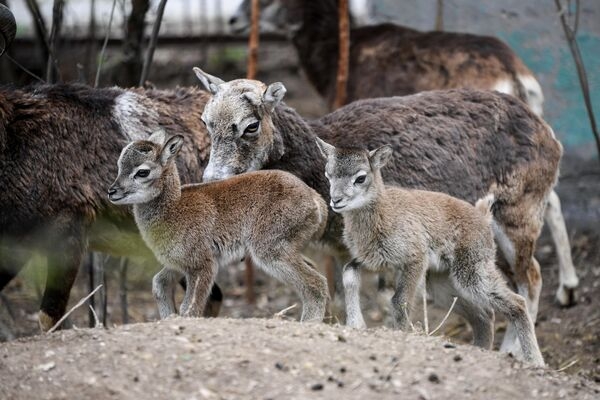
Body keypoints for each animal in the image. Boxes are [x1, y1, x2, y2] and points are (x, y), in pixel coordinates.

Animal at [108, 132, 328, 322]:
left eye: (142, 172)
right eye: (119, 164)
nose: (112, 191)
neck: (174, 209)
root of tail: (316, 201)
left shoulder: (202, 264)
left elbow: (190, 307)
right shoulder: (178, 264)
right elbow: (159, 284)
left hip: (270, 249)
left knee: (316, 283)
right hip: (289, 247)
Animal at [316, 139, 548, 368]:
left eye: (360, 177)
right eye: (329, 174)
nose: (336, 200)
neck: (384, 214)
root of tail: (482, 216)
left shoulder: (414, 260)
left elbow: (399, 301)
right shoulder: (374, 262)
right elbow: (349, 274)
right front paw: (356, 324)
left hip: (472, 272)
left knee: (517, 302)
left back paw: (535, 361)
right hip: (442, 283)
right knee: (483, 315)